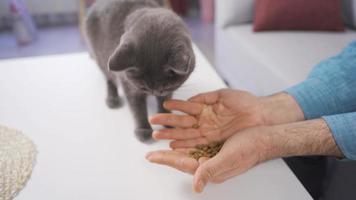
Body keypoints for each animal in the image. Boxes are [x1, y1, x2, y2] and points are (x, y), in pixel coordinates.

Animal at [84, 0, 195, 142]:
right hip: (102, 58)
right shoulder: (128, 84)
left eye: (166, 86)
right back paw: (112, 99)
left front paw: (167, 119)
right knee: (109, 78)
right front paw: (143, 130)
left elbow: (165, 102)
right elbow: (138, 108)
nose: (154, 92)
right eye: (143, 86)